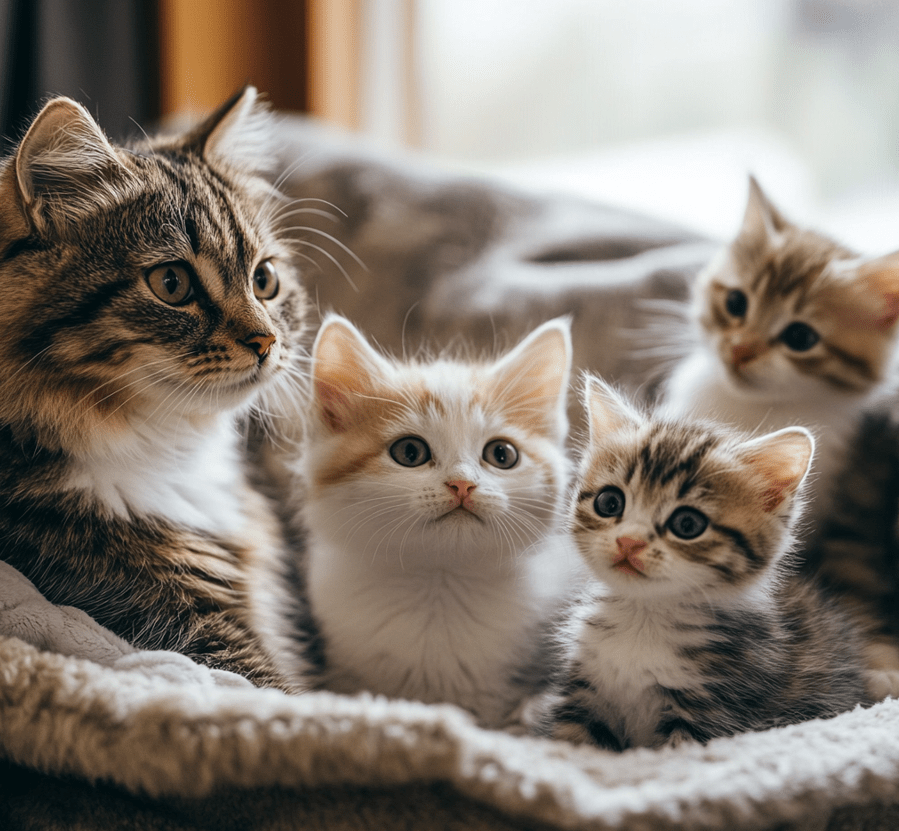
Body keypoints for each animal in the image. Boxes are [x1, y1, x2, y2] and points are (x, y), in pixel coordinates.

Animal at [548, 380, 872, 752]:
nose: (629, 542)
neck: (645, 616)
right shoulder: (583, 696)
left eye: (687, 524)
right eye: (609, 502)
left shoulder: (713, 710)